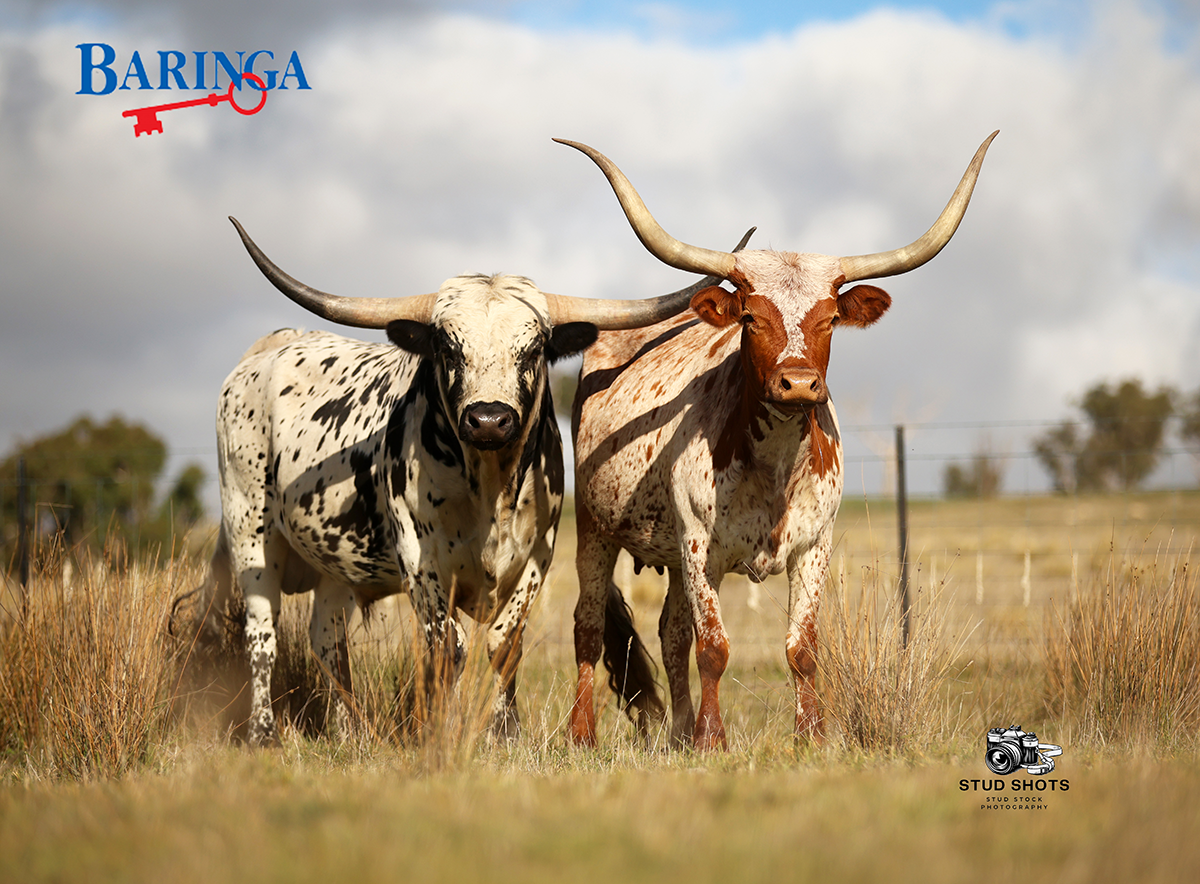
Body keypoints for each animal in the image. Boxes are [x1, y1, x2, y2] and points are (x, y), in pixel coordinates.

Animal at [208, 216, 715, 746]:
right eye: (448, 348)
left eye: (533, 349)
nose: (489, 419)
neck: (490, 490)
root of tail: (270, 348)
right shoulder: (419, 561)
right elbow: (445, 645)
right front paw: (442, 730)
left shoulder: (537, 556)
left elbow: (504, 642)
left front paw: (506, 730)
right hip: (249, 534)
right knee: (261, 636)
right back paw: (263, 733)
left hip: (334, 565)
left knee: (327, 640)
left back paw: (351, 733)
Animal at [561, 133, 997, 749]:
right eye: (750, 316)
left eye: (831, 318)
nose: (798, 382)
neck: (774, 466)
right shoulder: (700, 547)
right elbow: (713, 649)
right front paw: (713, 739)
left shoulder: (815, 547)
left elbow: (801, 648)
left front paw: (809, 734)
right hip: (594, 529)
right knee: (590, 626)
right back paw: (583, 732)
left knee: (670, 633)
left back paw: (677, 733)